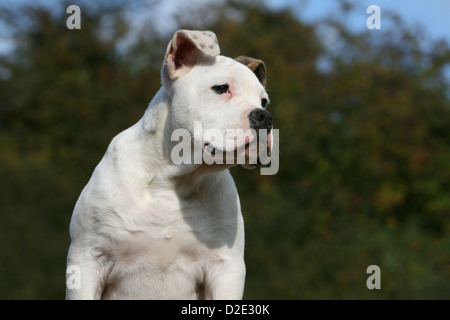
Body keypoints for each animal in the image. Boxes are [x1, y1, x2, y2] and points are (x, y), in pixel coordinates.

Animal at [65, 30, 272, 300]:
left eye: (264, 101)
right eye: (221, 88)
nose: (265, 117)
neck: (172, 181)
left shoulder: (226, 268)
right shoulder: (87, 260)